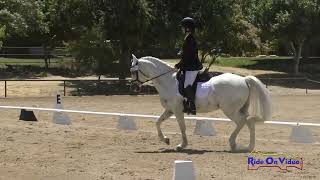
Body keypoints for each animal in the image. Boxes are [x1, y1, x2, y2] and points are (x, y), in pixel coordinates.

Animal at [130, 54, 272, 152]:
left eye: (133, 71)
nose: (134, 88)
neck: (168, 81)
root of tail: (244, 79)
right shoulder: (170, 110)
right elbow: (158, 122)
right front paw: (165, 140)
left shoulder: (177, 110)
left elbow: (182, 127)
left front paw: (181, 145)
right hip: (240, 109)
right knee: (249, 122)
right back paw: (249, 147)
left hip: (230, 110)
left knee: (242, 122)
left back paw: (233, 144)